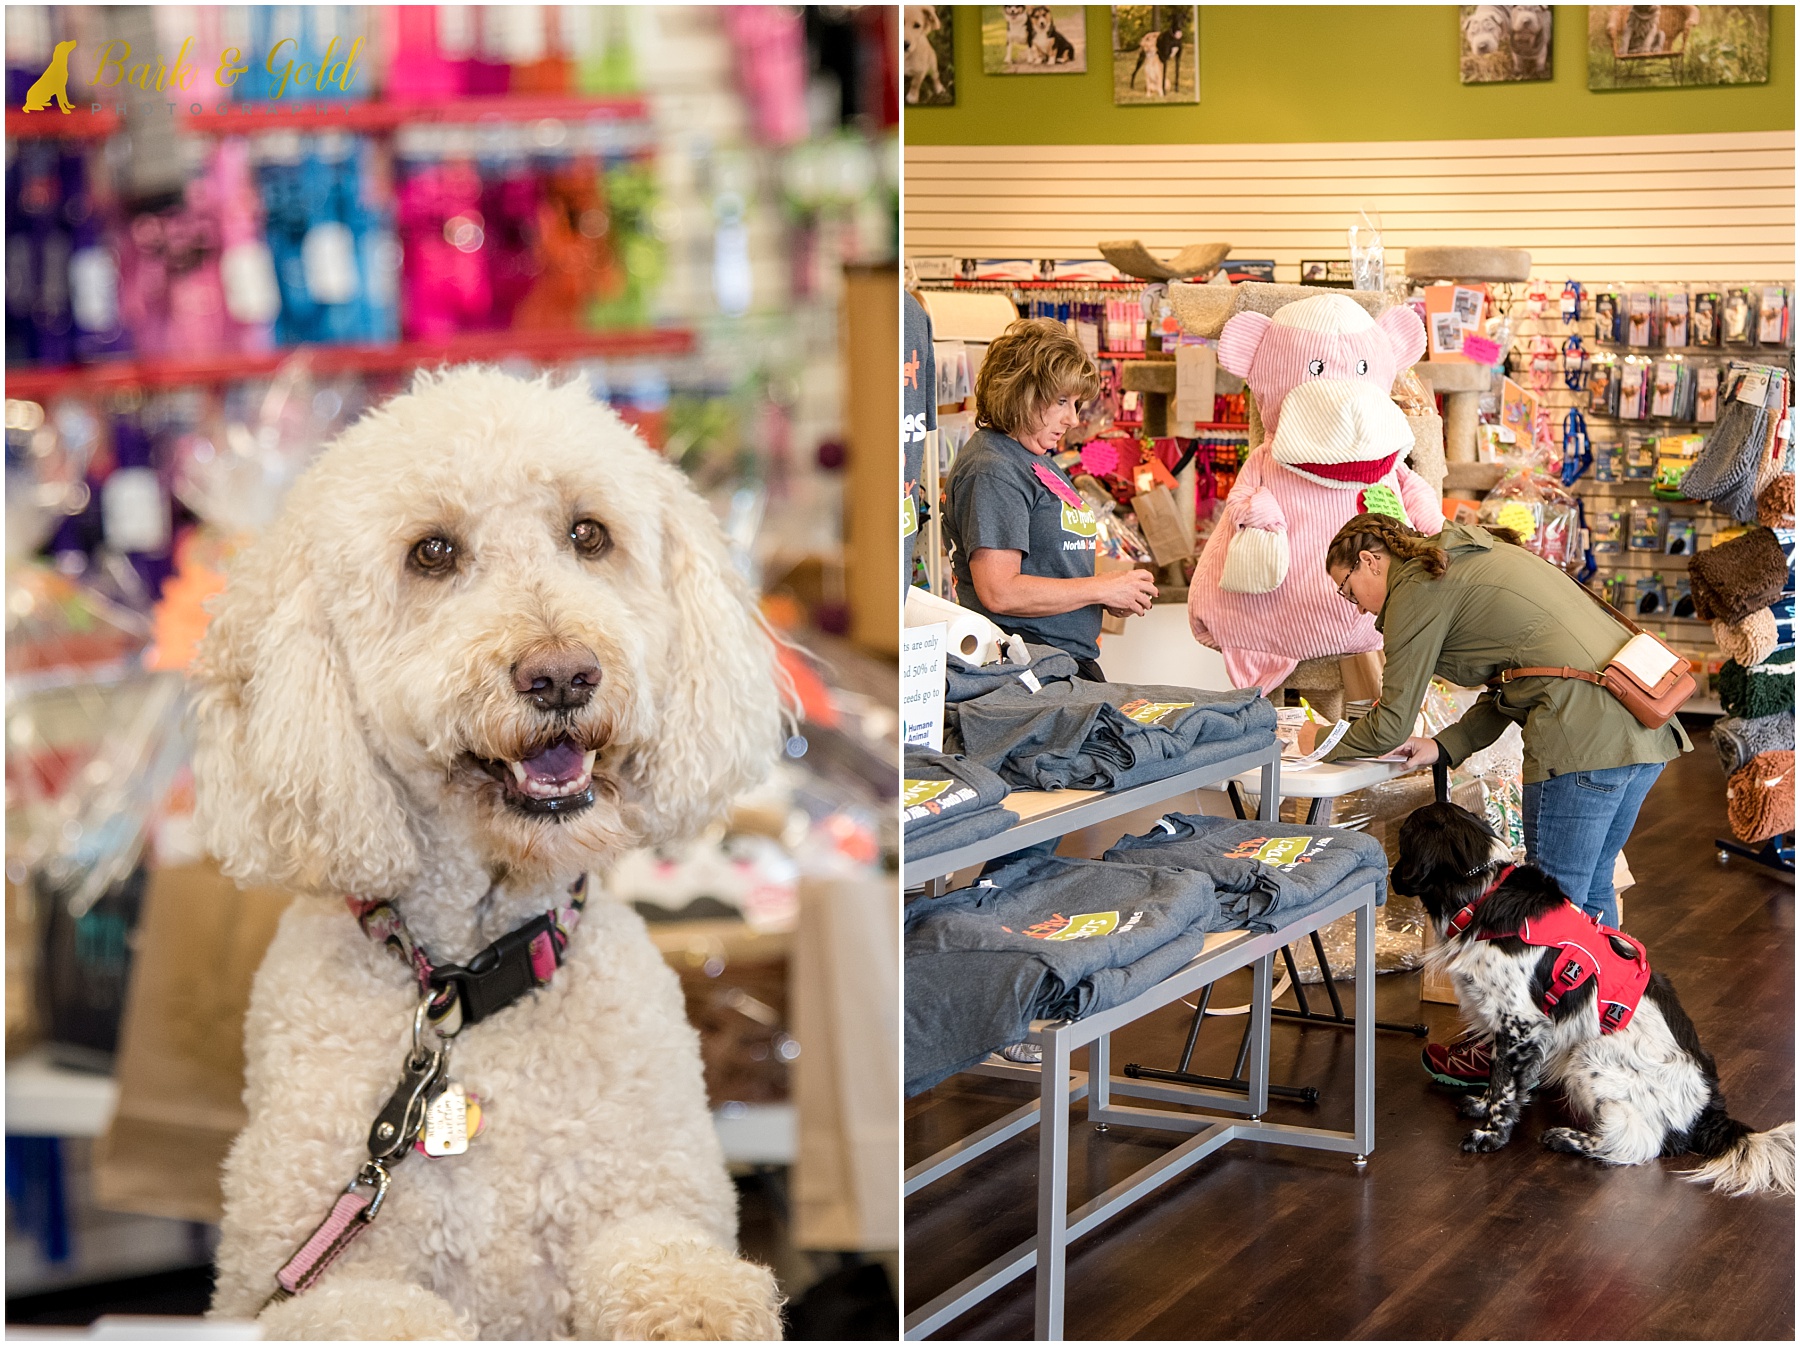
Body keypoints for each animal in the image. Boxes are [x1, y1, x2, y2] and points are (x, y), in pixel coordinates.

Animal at [1396, 795, 1792, 1194]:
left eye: (1402, 837)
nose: (1393, 877)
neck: (1484, 894)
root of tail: (1710, 1111)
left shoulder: (1520, 1022)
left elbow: (1504, 1086)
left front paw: (1490, 1135)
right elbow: (1503, 1080)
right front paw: (1482, 1103)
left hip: (1587, 1056)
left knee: (1640, 1143)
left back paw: (1567, 1138)